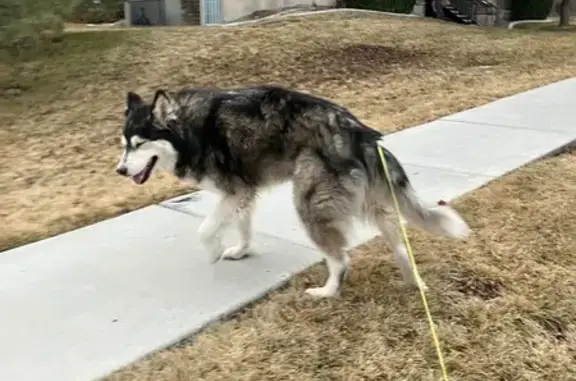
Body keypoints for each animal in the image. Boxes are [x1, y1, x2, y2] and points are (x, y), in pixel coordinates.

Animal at [116, 85, 468, 296]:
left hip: (309, 204)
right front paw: (240, 251)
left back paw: (327, 292)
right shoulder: (244, 192)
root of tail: (357, 131)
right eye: (123, 145)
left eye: (140, 144)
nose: (120, 170)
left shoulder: (233, 192)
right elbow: (243, 227)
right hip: (374, 206)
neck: (190, 130)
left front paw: (214, 251)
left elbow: (205, 230)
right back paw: (415, 284)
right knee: (400, 248)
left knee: (340, 260)